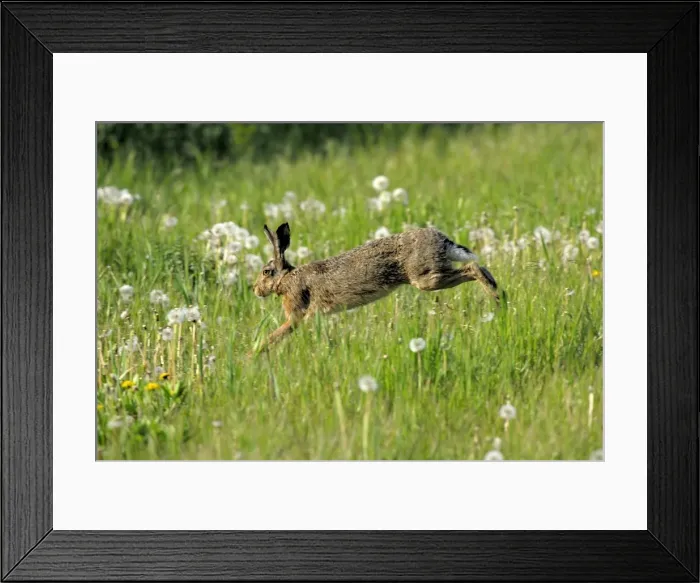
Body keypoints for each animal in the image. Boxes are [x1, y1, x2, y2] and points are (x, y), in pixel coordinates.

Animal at [250, 222, 501, 354]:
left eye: (266, 272)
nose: (255, 290)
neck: (286, 278)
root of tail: (442, 240)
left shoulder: (296, 314)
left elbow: (275, 335)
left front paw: (252, 355)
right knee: (479, 268)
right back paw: (500, 296)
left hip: (427, 278)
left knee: (472, 268)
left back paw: (497, 297)